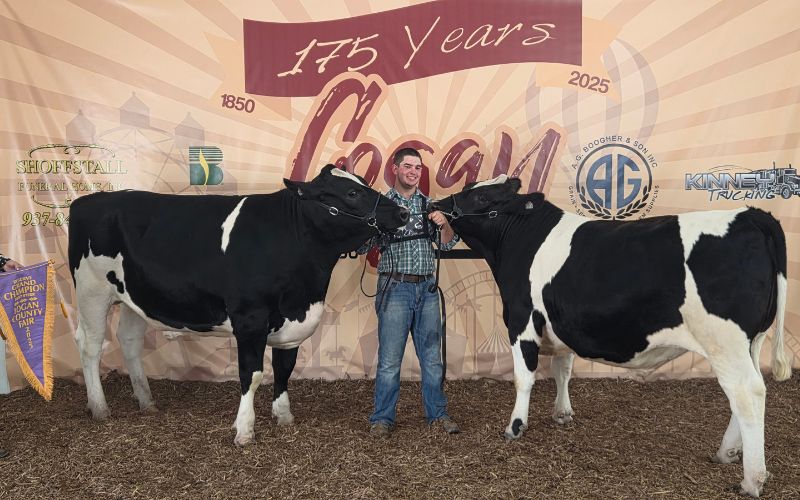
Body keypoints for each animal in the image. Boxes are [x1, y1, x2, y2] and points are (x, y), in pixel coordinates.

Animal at [68, 165, 408, 445]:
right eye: (352, 193)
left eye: (363, 182)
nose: (403, 213)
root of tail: (87, 201)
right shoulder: (250, 319)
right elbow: (252, 374)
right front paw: (244, 430)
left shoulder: (292, 322)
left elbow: (284, 369)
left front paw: (284, 416)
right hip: (91, 290)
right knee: (90, 345)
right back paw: (99, 407)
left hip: (133, 297)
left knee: (129, 341)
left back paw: (146, 402)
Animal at [432, 175, 791, 497]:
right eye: (469, 186)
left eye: (482, 197)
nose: (436, 205)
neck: (522, 240)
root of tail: (752, 215)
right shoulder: (563, 322)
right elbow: (563, 369)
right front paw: (563, 413)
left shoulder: (522, 320)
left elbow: (524, 378)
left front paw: (515, 426)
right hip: (752, 340)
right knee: (748, 391)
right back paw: (727, 452)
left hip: (724, 341)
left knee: (747, 393)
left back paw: (752, 480)